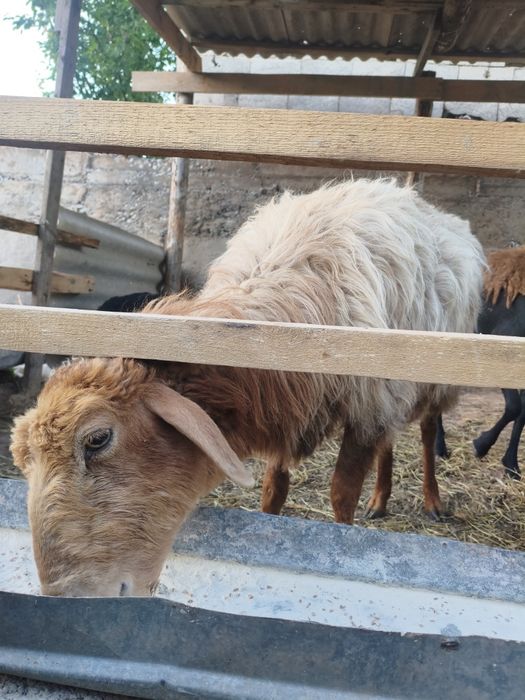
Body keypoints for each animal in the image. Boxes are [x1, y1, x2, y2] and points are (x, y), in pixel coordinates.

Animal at [10, 179, 485, 597]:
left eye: (98, 439)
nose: (68, 596)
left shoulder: (366, 405)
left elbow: (341, 493)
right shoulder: (289, 408)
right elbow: (274, 490)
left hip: (434, 377)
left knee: (425, 431)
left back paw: (432, 501)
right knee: (390, 441)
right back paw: (381, 499)